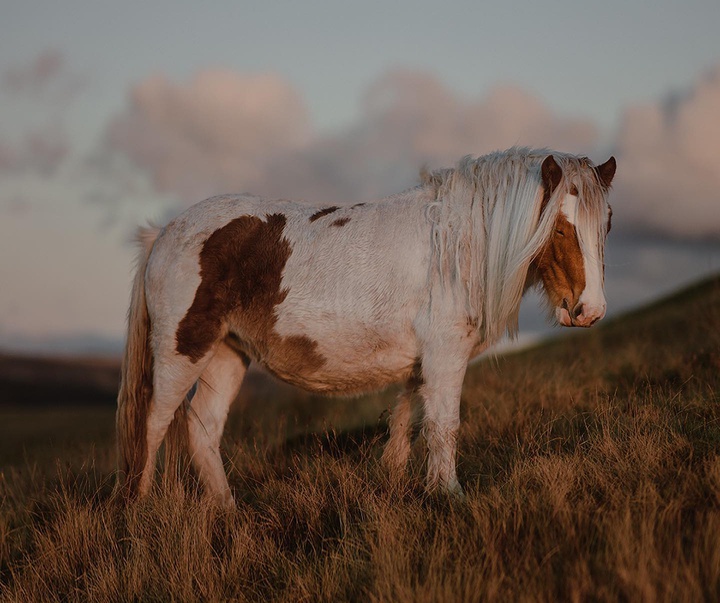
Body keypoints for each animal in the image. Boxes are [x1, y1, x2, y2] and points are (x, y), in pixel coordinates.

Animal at [115, 147, 616, 510]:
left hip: (227, 353)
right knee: (154, 425)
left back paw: (227, 512)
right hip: (183, 350)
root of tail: (164, 233)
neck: (457, 245)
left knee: (204, 427)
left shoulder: (421, 365)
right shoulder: (445, 356)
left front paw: (399, 485)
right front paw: (450, 497)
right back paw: (140, 511)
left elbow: (407, 424)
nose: (590, 310)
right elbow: (444, 425)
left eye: (606, 224)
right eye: (559, 228)